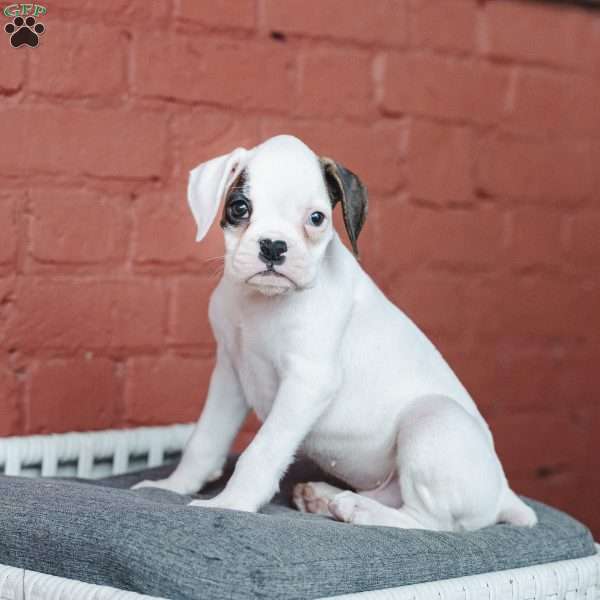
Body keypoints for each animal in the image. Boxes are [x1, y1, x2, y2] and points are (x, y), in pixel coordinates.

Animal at [135, 135, 536, 528]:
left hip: (433, 419)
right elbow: (204, 439)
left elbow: (262, 450)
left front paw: (233, 503)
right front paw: (173, 486)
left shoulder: (308, 381)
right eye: (239, 208)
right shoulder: (230, 375)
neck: (264, 302)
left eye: (316, 218)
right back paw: (325, 498)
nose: (273, 246)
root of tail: (504, 495)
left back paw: (359, 510)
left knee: (429, 522)